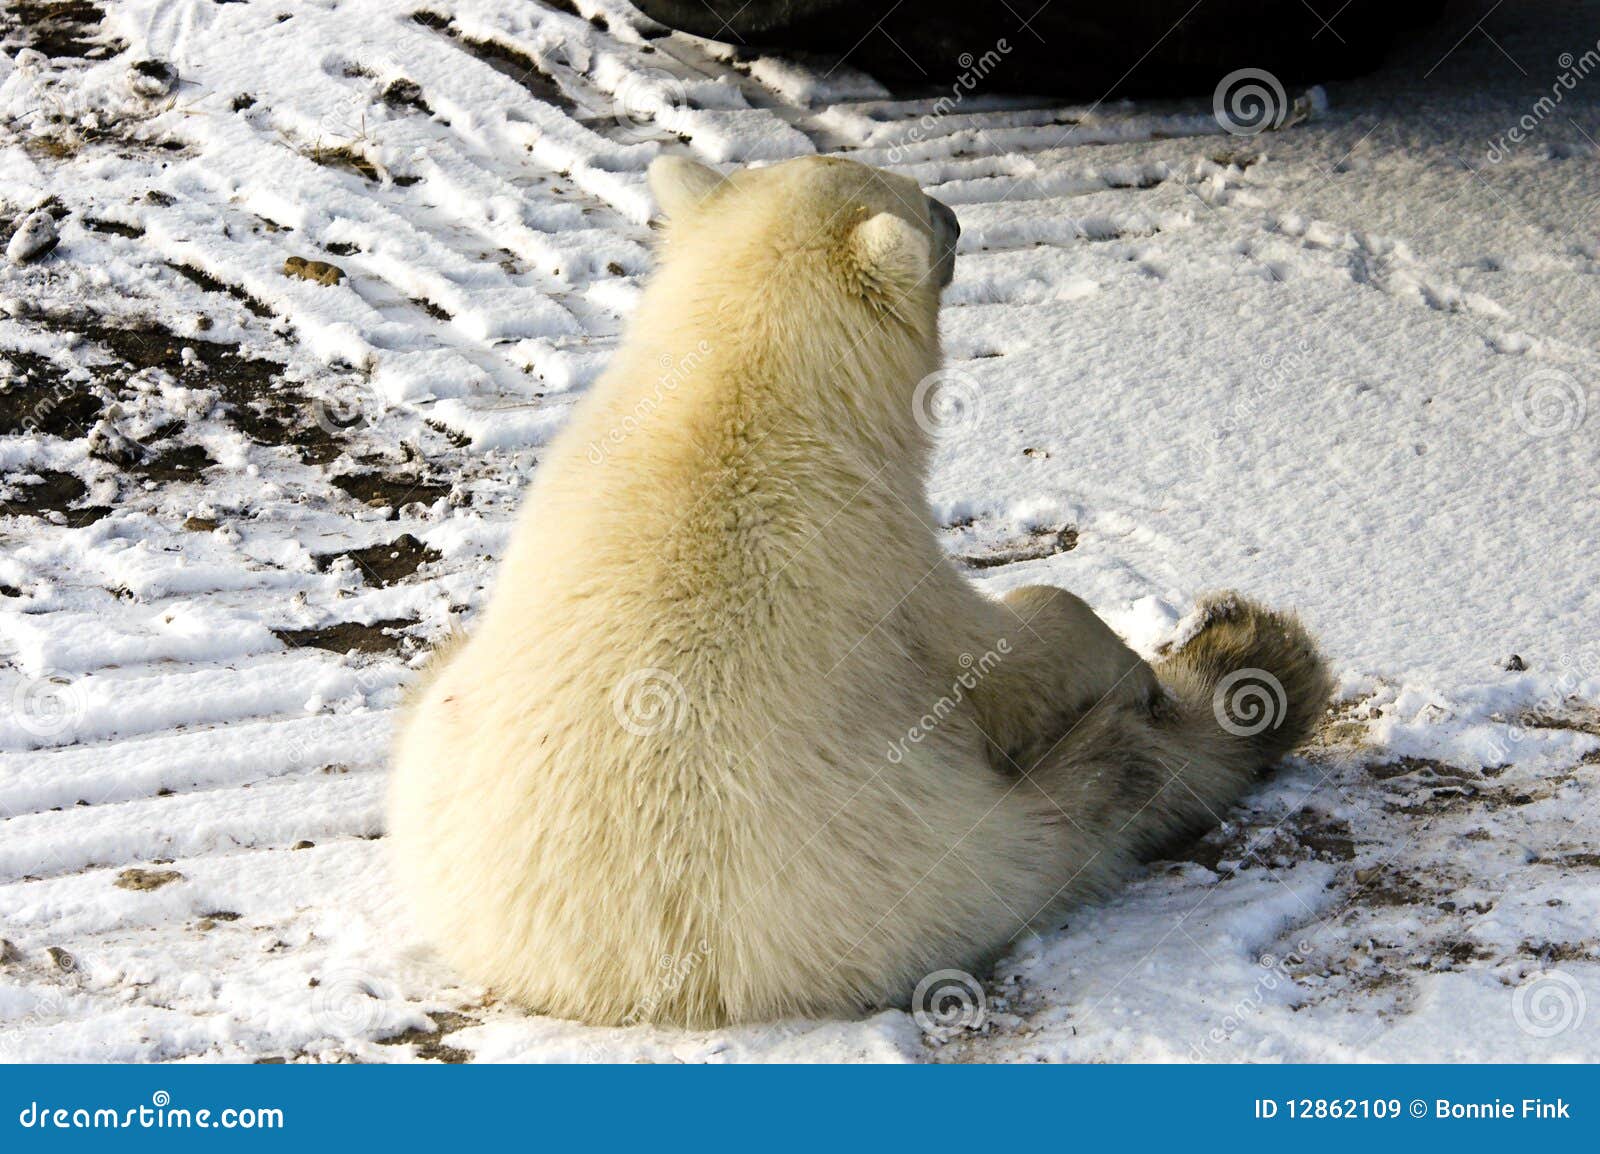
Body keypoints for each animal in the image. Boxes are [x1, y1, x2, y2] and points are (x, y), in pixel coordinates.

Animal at [386, 154, 1332, 1029]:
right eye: (917, 202)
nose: (957, 215)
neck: (734, 393)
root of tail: (612, 978)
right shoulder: (884, 558)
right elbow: (1006, 651)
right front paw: (1129, 661)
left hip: (438, 739)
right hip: (933, 863)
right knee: (1098, 798)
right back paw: (1244, 670)